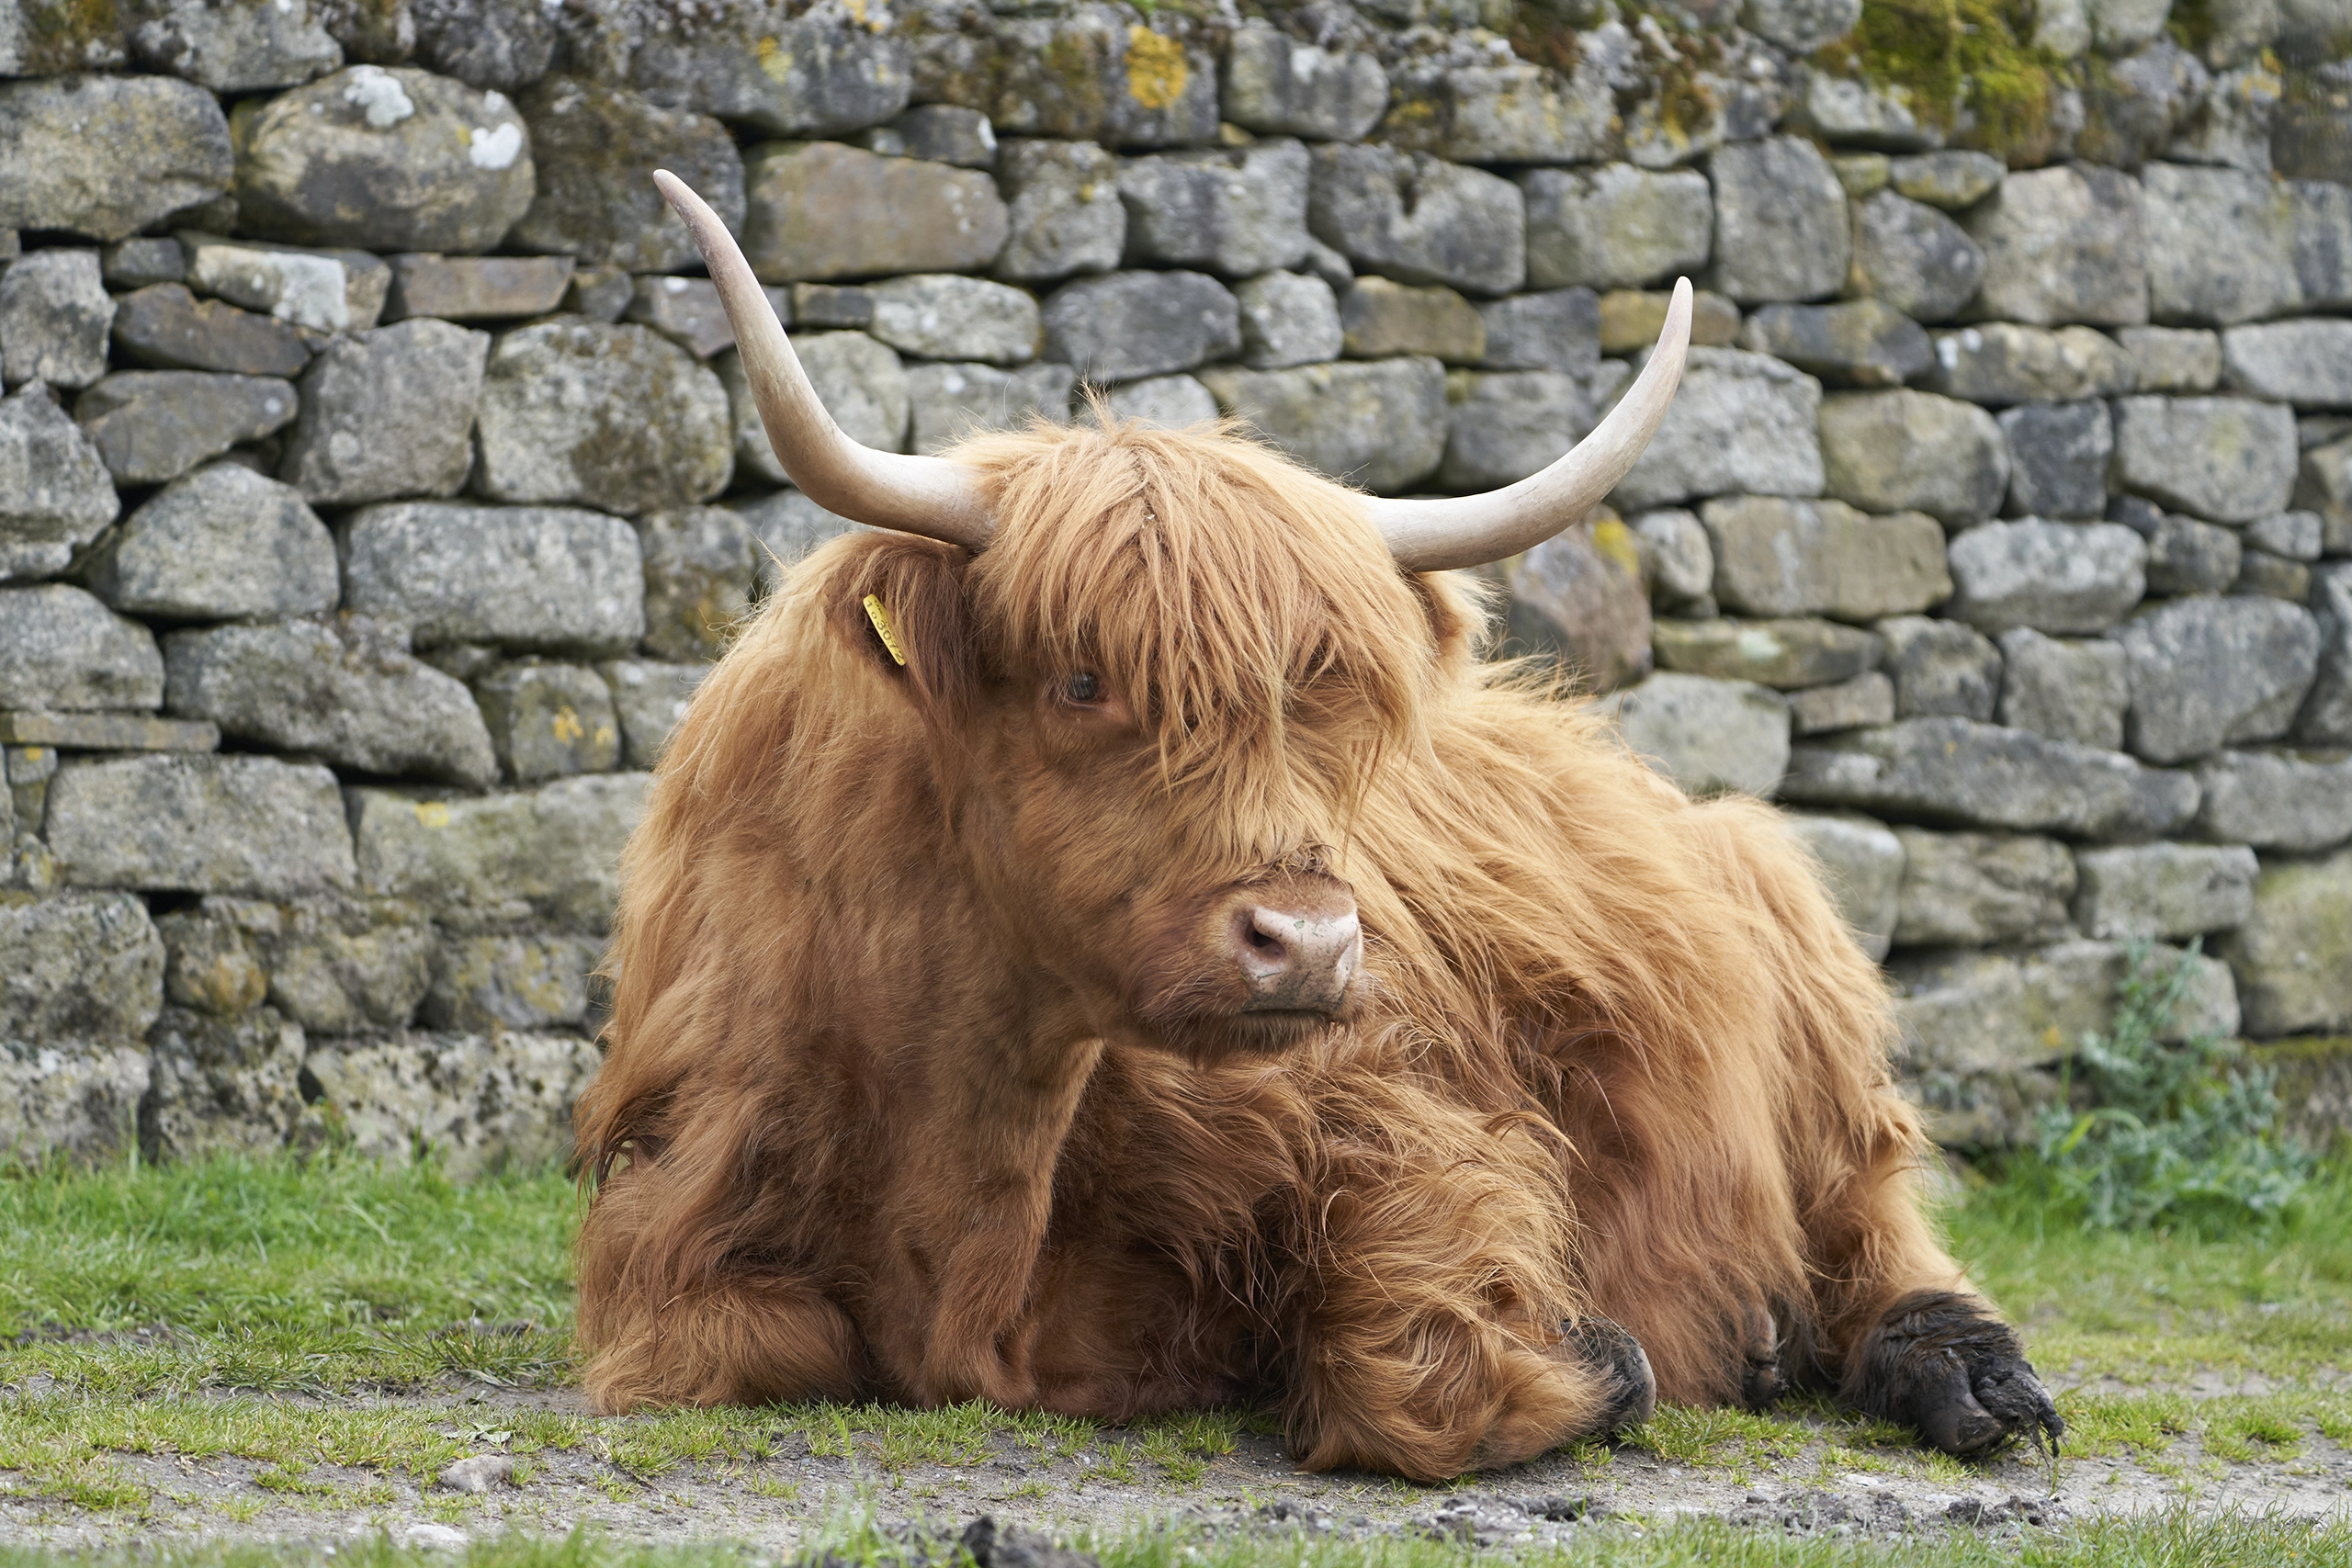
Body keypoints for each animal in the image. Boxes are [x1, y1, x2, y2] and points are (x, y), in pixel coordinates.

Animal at [578, 175, 2069, 1485]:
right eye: (1081, 678)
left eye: (1322, 691)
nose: (1305, 943)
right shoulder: (676, 1230)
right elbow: (742, 1341)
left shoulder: (1380, 1115)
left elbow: (1421, 1371)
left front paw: (1604, 1356)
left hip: (1803, 972)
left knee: (1875, 1222)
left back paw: (1959, 1373)